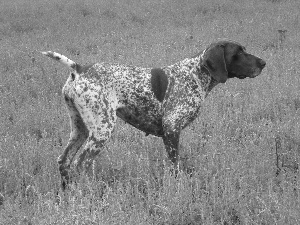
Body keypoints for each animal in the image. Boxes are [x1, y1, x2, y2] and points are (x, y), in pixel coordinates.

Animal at [41, 40, 264, 190]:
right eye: (239, 52)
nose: (263, 62)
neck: (195, 74)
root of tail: (79, 69)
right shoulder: (171, 128)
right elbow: (175, 165)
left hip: (80, 129)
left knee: (64, 161)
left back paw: (67, 194)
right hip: (102, 129)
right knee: (80, 164)